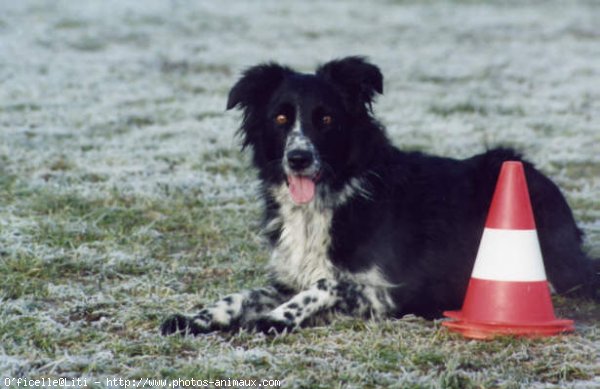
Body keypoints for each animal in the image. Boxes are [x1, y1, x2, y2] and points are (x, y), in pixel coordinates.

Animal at [161, 56, 600, 334]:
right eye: (281, 118)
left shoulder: (391, 290)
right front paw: (198, 317)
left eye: (326, 119)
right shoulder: (289, 277)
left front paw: (278, 318)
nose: (299, 158)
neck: (330, 199)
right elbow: (243, 293)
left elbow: (329, 284)